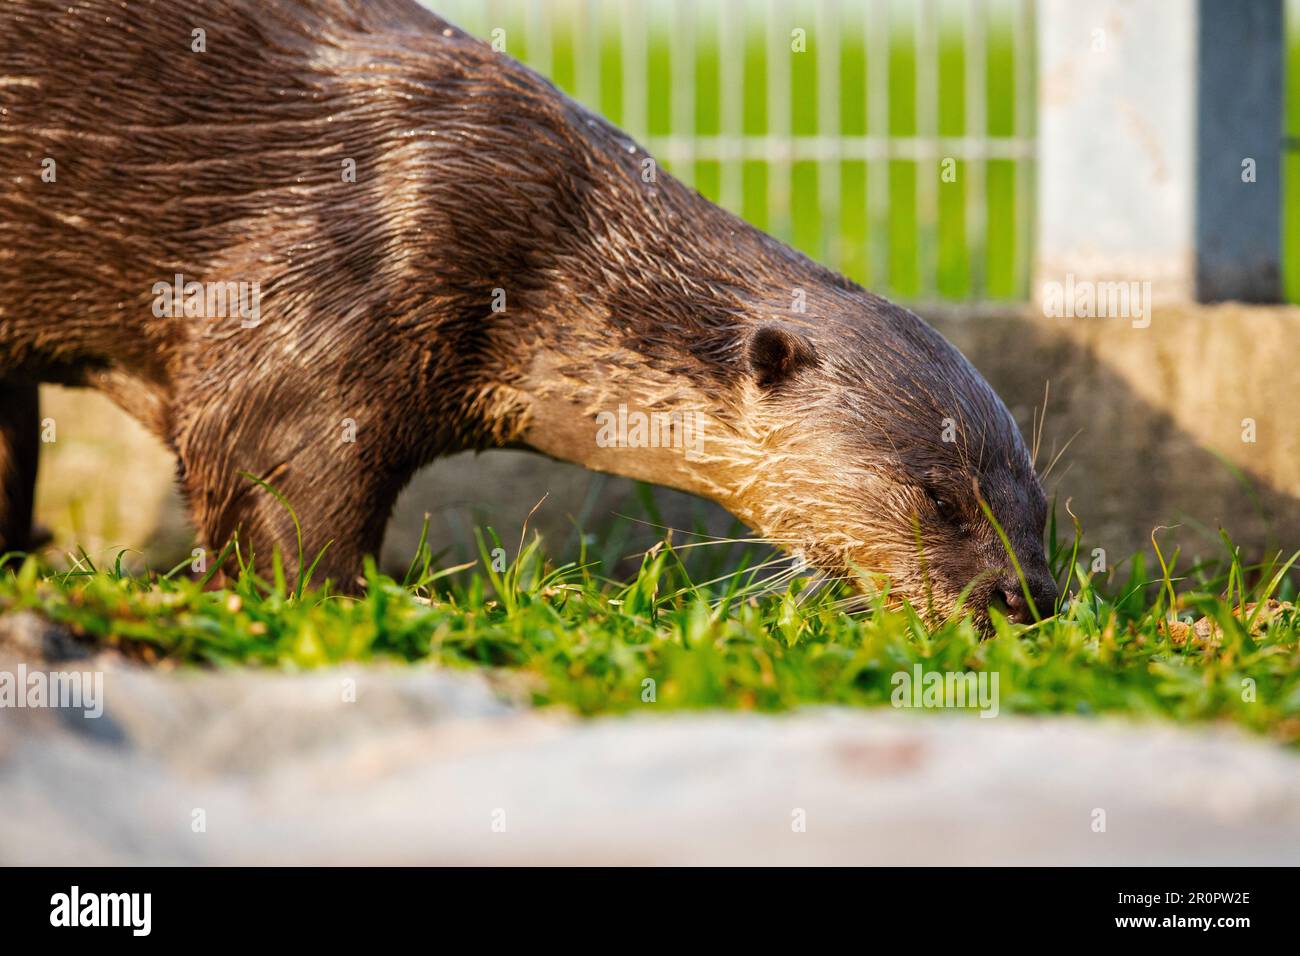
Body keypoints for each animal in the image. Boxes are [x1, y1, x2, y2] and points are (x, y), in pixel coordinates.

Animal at [0, 0, 1055, 632]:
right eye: (939, 498)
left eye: (1041, 507)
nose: (1027, 599)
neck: (551, 256)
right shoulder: (317, 307)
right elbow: (273, 497)